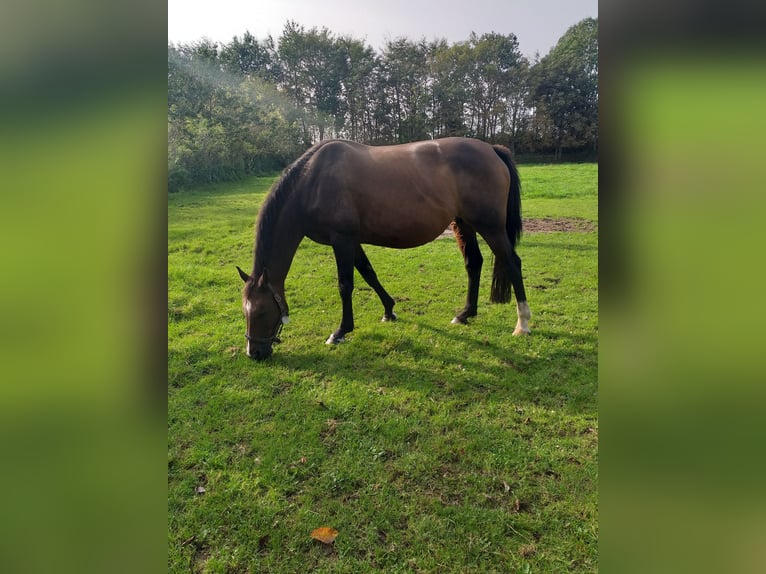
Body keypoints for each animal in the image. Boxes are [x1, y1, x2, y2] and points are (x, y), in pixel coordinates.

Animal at [237, 136, 532, 360]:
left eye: (261, 310)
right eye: (244, 310)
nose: (254, 353)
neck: (314, 181)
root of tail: (492, 149)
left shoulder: (342, 239)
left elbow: (345, 285)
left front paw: (340, 332)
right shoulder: (352, 240)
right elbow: (369, 273)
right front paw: (389, 310)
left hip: (490, 226)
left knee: (512, 262)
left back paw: (523, 324)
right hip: (464, 223)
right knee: (474, 263)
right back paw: (465, 314)